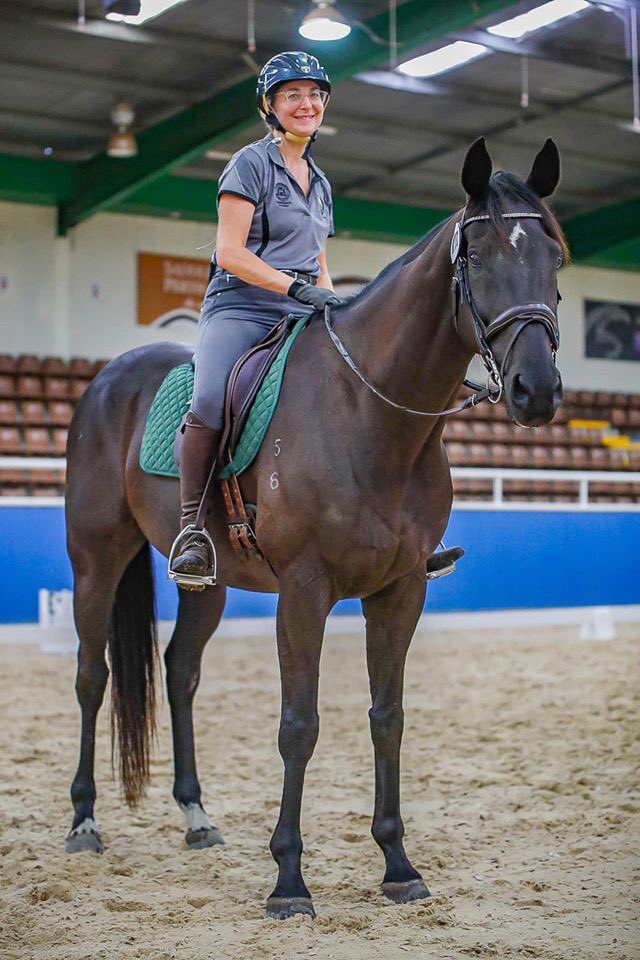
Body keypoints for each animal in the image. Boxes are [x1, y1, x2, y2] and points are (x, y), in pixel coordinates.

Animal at [64, 137, 565, 919]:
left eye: (554, 257)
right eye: (477, 258)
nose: (536, 391)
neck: (370, 413)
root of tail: (108, 379)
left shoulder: (400, 591)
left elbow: (387, 716)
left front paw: (397, 864)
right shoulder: (304, 591)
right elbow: (299, 725)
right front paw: (289, 881)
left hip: (207, 583)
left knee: (180, 672)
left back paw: (197, 817)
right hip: (95, 558)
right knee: (93, 675)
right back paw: (84, 822)